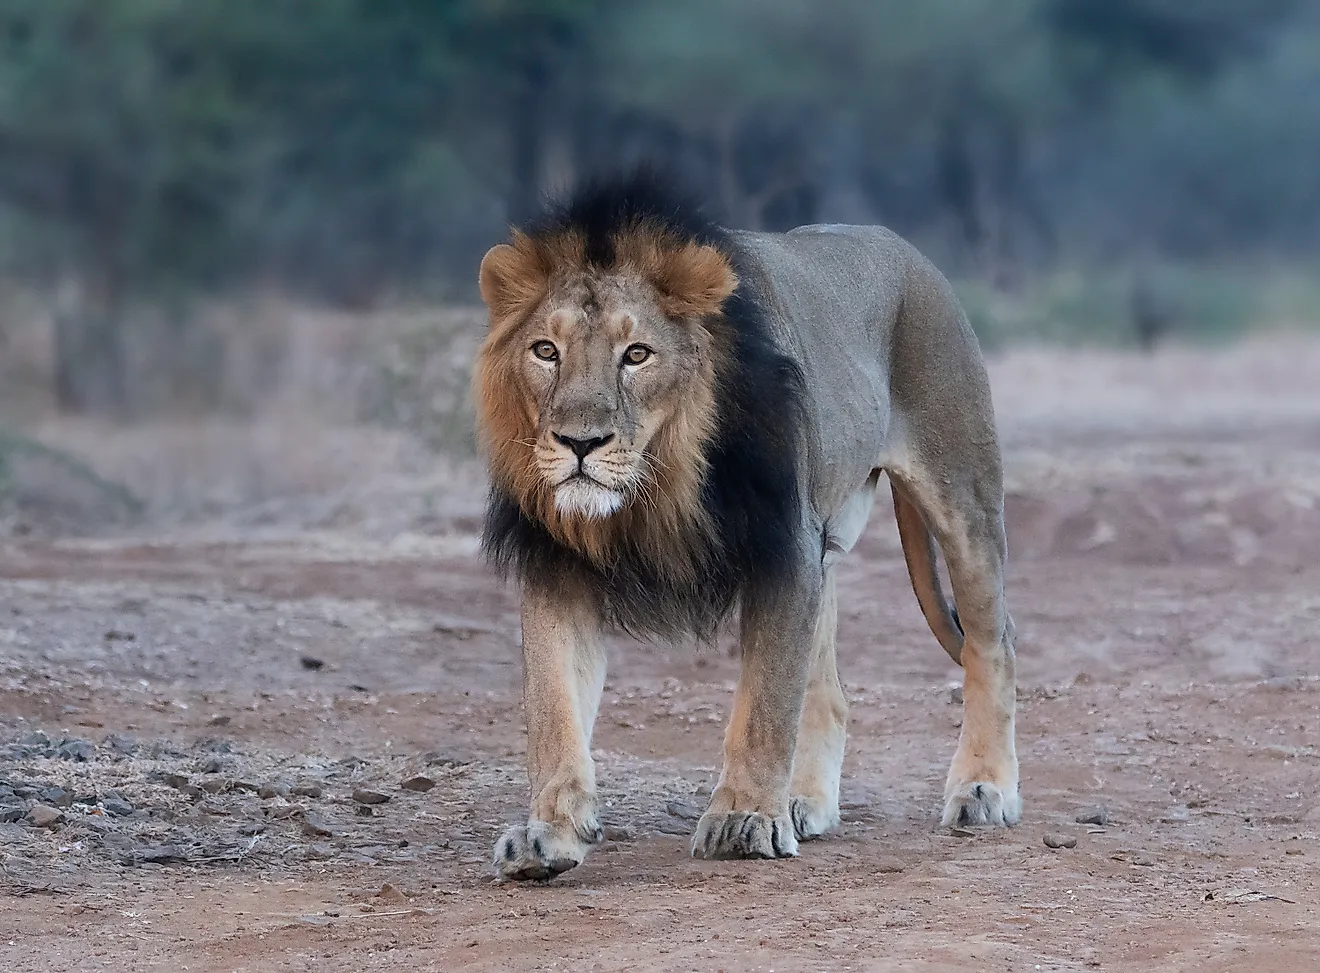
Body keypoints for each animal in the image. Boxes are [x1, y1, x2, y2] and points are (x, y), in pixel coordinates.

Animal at [474, 170, 1019, 881]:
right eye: (546, 351)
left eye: (637, 354)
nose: (579, 443)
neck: (659, 487)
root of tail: (905, 249)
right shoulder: (557, 562)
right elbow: (553, 707)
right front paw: (549, 833)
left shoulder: (783, 547)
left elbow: (763, 705)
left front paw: (743, 819)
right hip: (828, 540)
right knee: (830, 692)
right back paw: (805, 804)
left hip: (962, 495)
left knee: (993, 644)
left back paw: (983, 789)